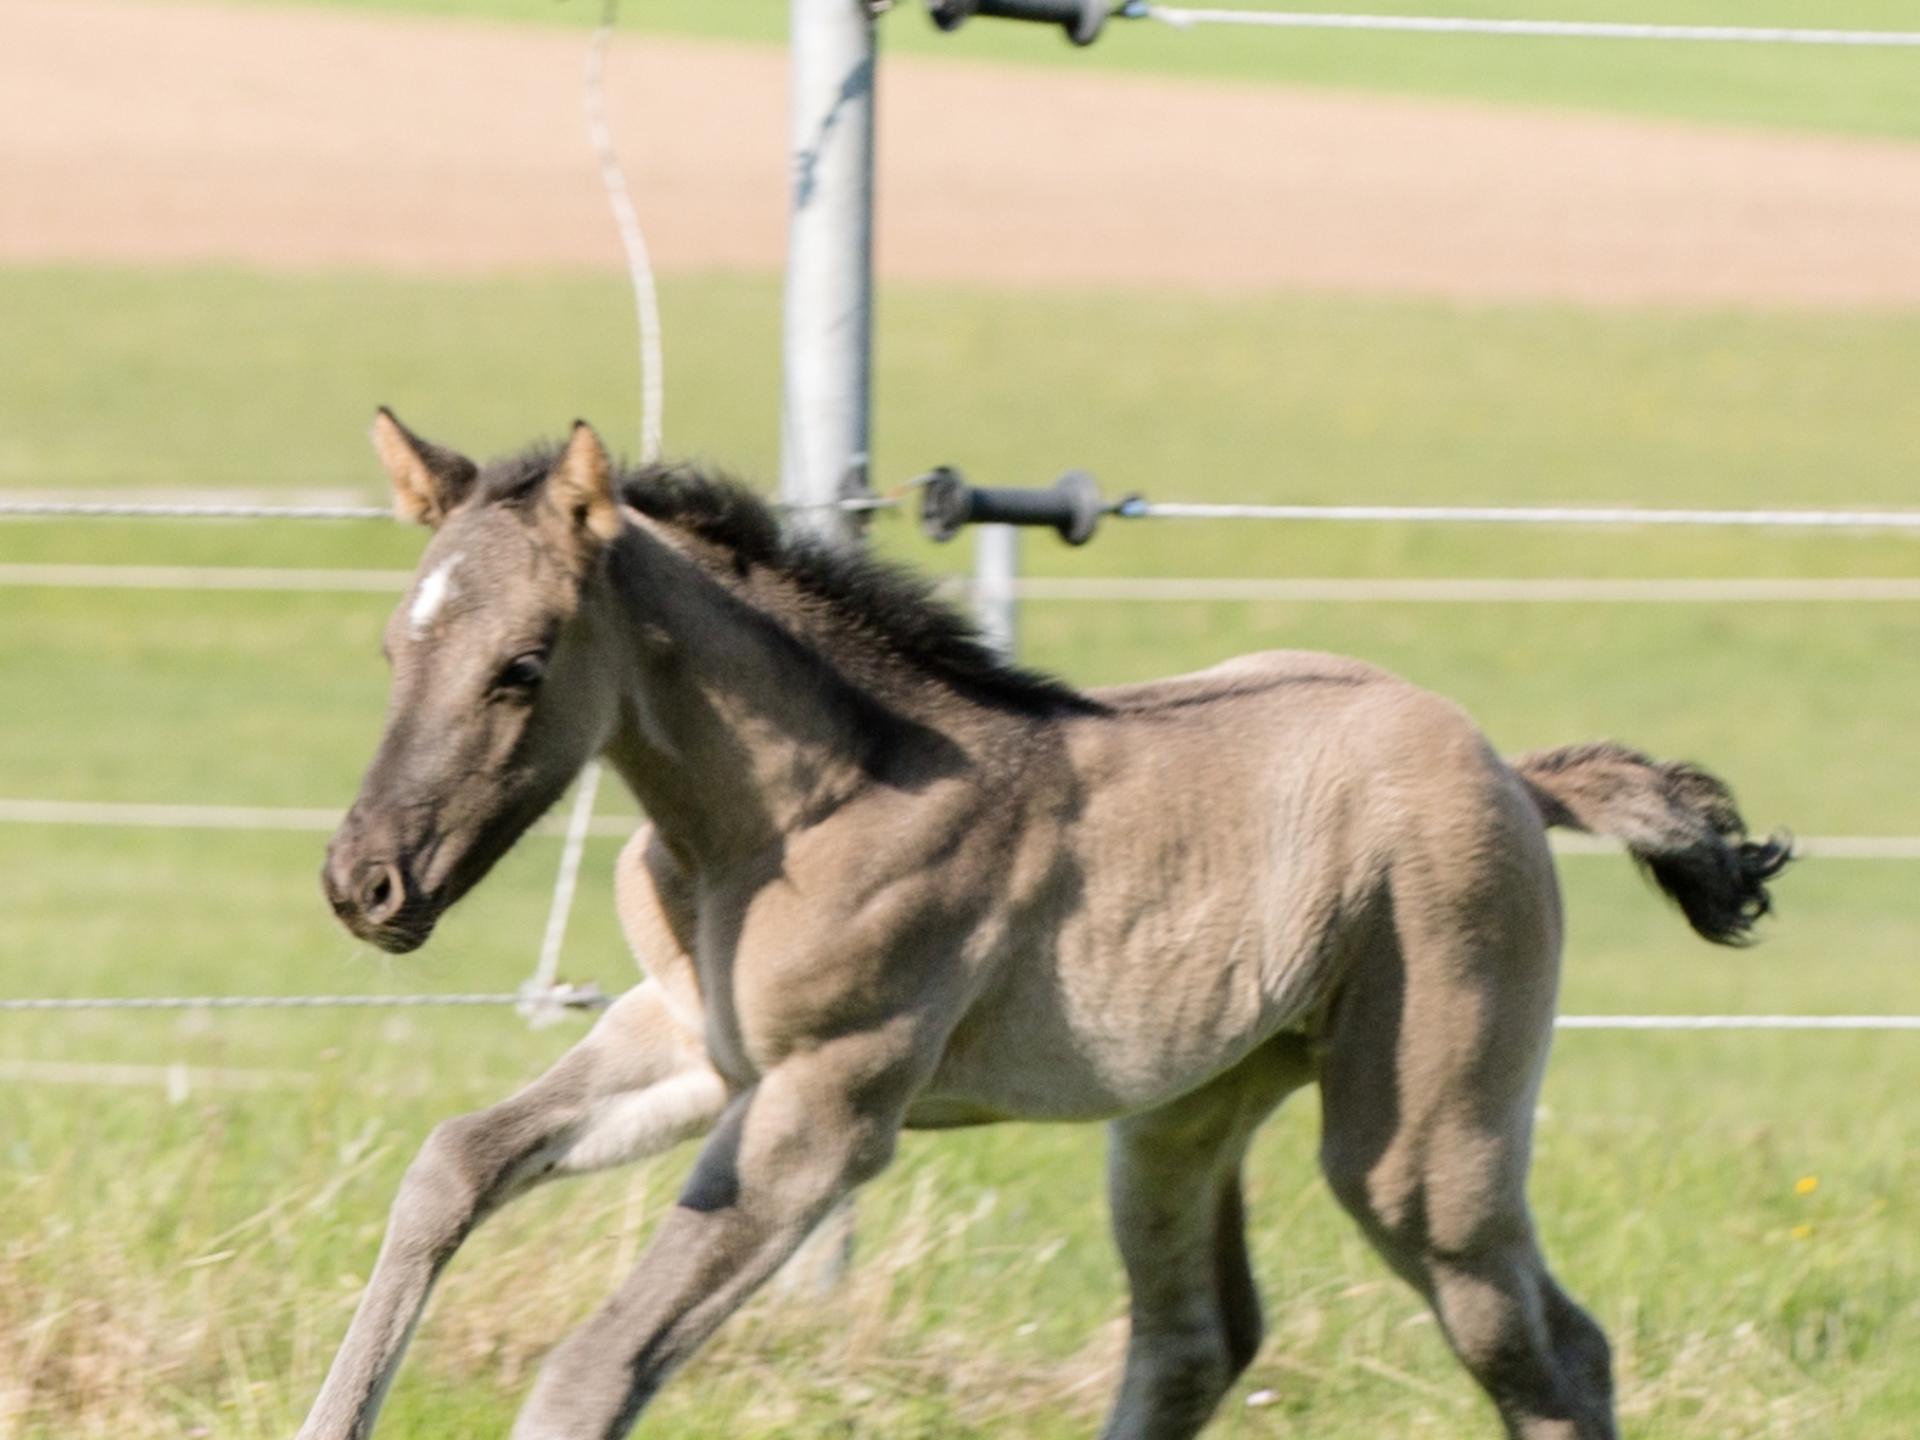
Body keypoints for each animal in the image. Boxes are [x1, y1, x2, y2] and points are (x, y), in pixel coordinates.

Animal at [299, 411, 1789, 1440]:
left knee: (1549, 1351)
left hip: (1422, 1151)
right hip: (1186, 1110)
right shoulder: (691, 1043)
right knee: (1196, 1340)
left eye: (522, 665)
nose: (366, 883)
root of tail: (1512, 773)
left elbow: (592, 1366)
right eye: (392, 648)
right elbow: (452, 1164)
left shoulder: (826, 1110)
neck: (797, 814)